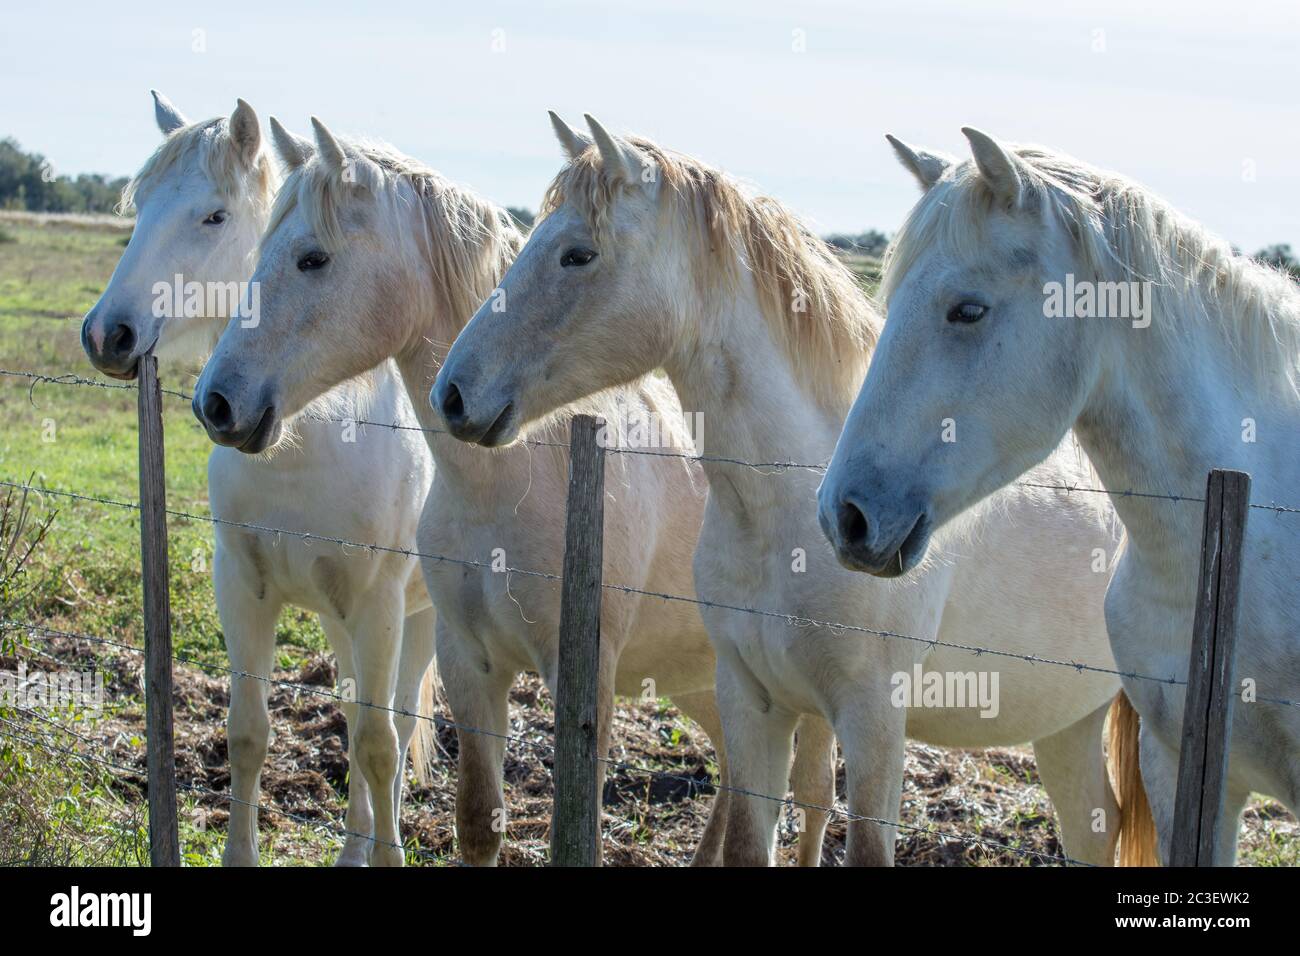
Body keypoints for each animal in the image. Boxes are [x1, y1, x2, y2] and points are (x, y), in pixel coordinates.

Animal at [81, 95, 436, 868]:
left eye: (213, 216)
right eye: (139, 205)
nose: (106, 335)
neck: (312, 436)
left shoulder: (378, 603)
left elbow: (379, 744)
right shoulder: (242, 586)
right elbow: (249, 733)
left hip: (417, 618)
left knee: (390, 727)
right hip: (340, 619)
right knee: (358, 717)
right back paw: (353, 850)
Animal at [185, 117, 832, 868]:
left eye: (313, 259)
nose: (216, 403)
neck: (517, 479)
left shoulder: (583, 684)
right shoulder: (470, 664)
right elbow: (474, 817)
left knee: (813, 796)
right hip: (709, 681)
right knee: (734, 774)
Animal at [436, 113, 1159, 868]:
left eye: (577, 254)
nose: (452, 394)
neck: (781, 515)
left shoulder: (872, 723)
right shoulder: (753, 702)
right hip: (1068, 724)